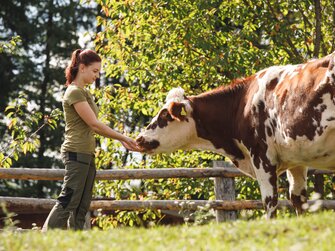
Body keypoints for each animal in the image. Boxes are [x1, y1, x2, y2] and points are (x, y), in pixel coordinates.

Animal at [135, 52, 335, 219]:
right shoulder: (297, 160)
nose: (139, 138)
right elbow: (298, 200)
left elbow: (270, 202)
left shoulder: (262, 156)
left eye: (164, 115)